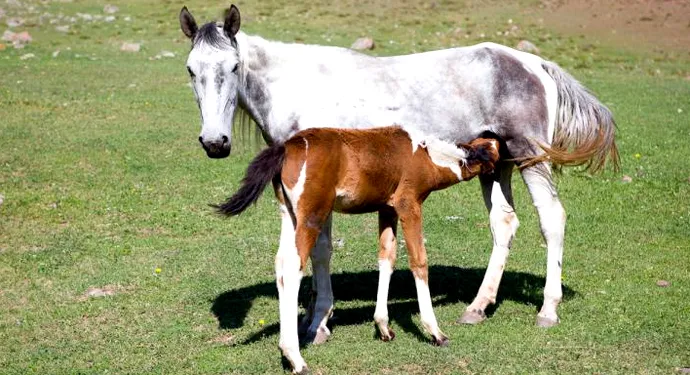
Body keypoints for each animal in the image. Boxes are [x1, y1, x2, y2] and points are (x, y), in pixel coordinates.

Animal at [216, 126, 500, 374]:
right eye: (495, 150)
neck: (425, 155)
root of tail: (288, 146)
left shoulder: (387, 208)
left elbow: (387, 258)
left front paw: (383, 327)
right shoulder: (408, 205)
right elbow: (419, 261)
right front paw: (436, 332)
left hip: (289, 214)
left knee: (280, 265)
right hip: (312, 215)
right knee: (293, 268)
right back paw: (295, 358)